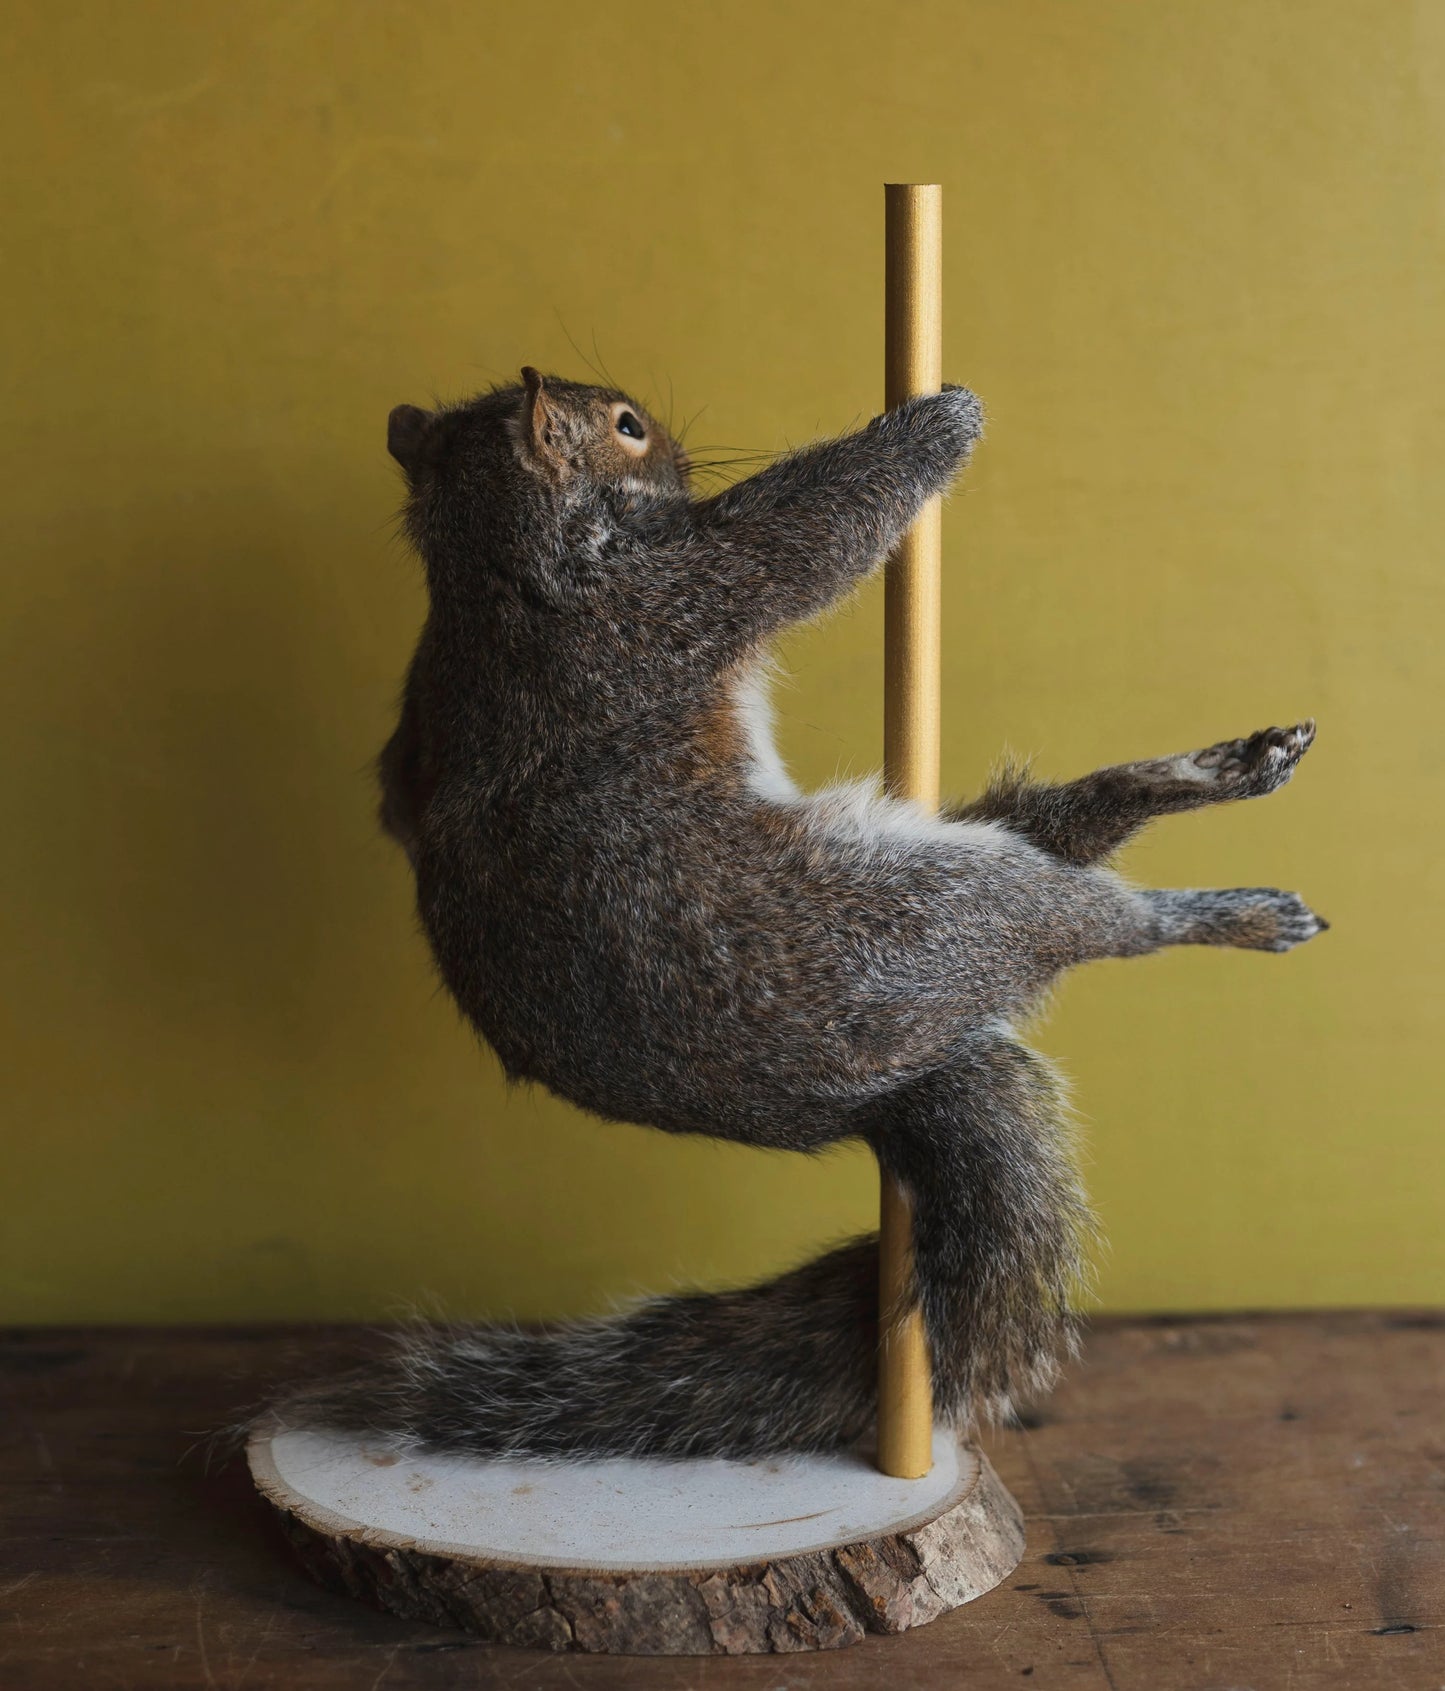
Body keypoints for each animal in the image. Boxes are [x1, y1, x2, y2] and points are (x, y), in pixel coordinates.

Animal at [278, 368, 1325, 1459]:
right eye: (627, 427)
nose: (680, 452)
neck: (487, 572)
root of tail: (862, 1099)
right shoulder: (657, 606)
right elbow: (799, 543)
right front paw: (937, 424)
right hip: (935, 913)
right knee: (1090, 919)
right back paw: (1224, 912)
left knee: (1068, 823)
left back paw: (1219, 771)